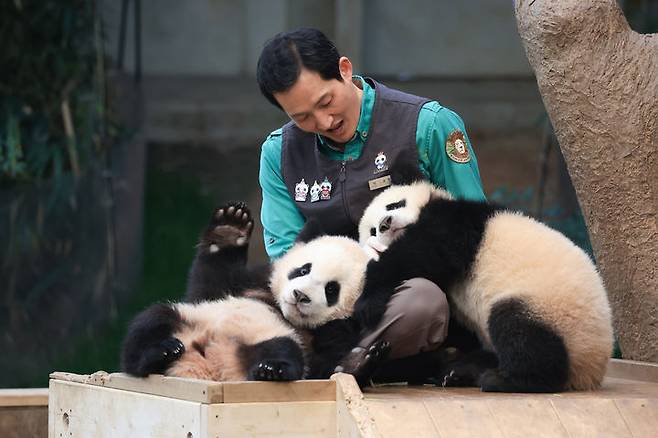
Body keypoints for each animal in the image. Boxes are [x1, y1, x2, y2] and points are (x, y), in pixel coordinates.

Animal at [352, 176, 612, 392]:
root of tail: (591, 371)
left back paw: (504, 380)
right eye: (373, 231)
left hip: (551, 308)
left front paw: (367, 303)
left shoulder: (455, 222)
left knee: (519, 331)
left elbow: (420, 252)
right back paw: (460, 372)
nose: (385, 223)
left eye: (394, 204)